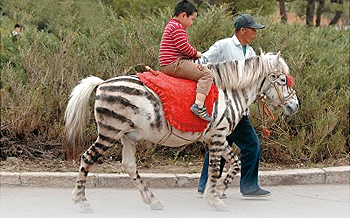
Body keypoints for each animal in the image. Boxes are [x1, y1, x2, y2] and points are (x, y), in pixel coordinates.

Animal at [65, 51, 298, 211]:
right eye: (283, 80)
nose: (296, 105)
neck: (229, 93)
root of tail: (103, 83)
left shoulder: (219, 137)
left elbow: (234, 164)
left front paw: (217, 192)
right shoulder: (218, 136)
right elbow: (217, 168)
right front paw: (214, 198)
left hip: (127, 136)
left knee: (130, 166)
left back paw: (153, 200)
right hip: (109, 133)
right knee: (87, 158)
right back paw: (81, 201)